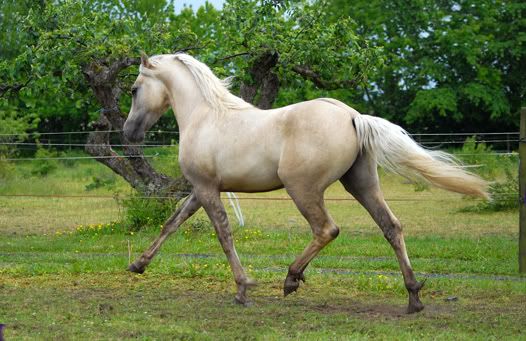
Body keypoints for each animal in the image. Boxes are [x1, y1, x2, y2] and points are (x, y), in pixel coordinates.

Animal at [124, 51, 490, 312]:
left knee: (327, 229)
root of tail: (353, 115)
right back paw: (413, 297)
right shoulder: (200, 190)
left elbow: (223, 235)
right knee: (392, 227)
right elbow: (172, 223)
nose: (129, 133)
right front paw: (138, 264)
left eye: (134, 89)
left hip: (303, 189)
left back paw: (291, 278)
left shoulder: (206, 188)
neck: (206, 116)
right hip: (361, 184)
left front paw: (243, 289)